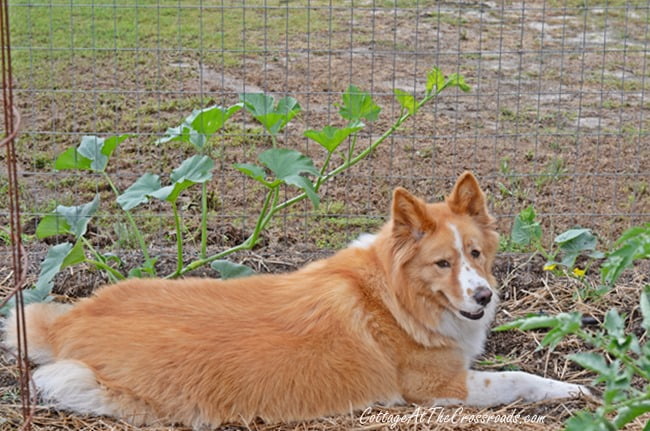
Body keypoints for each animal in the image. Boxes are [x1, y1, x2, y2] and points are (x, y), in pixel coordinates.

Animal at [1, 171, 588, 428]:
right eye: (443, 264)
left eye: (476, 254)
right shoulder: (438, 388)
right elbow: (518, 378)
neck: (395, 297)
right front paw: (573, 388)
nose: (485, 297)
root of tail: (73, 318)